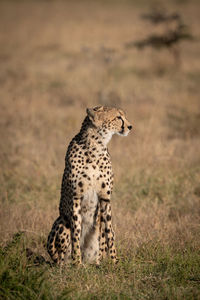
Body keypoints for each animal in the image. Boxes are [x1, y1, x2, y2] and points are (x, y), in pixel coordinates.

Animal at [46, 106, 131, 264]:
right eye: (118, 117)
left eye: (123, 116)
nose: (130, 127)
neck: (95, 147)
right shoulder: (76, 198)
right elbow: (76, 234)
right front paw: (77, 263)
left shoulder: (105, 198)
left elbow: (109, 234)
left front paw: (114, 262)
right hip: (62, 221)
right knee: (59, 256)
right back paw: (69, 264)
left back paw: (96, 263)